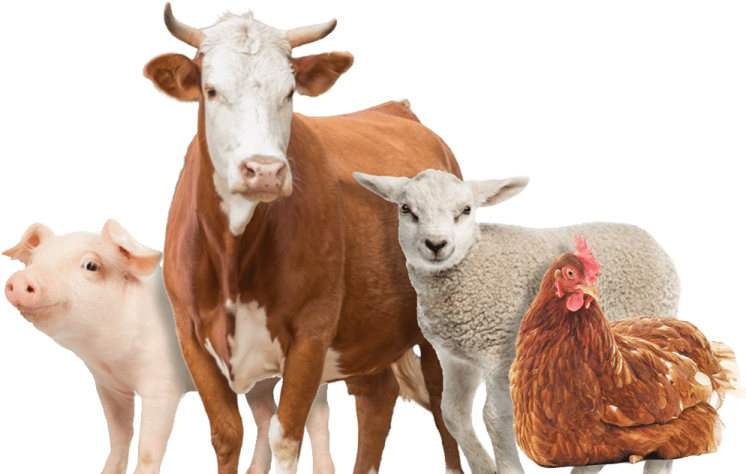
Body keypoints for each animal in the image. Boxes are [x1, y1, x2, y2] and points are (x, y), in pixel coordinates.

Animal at [142, 3, 465, 474]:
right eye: (211, 90)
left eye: (290, 93)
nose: (264, 171)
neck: (235, 259)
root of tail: (397, 108)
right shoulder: (190, 332)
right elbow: (227, 434)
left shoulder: (312, 330)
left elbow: (286, 437)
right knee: (377, 399)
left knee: (444, 407)